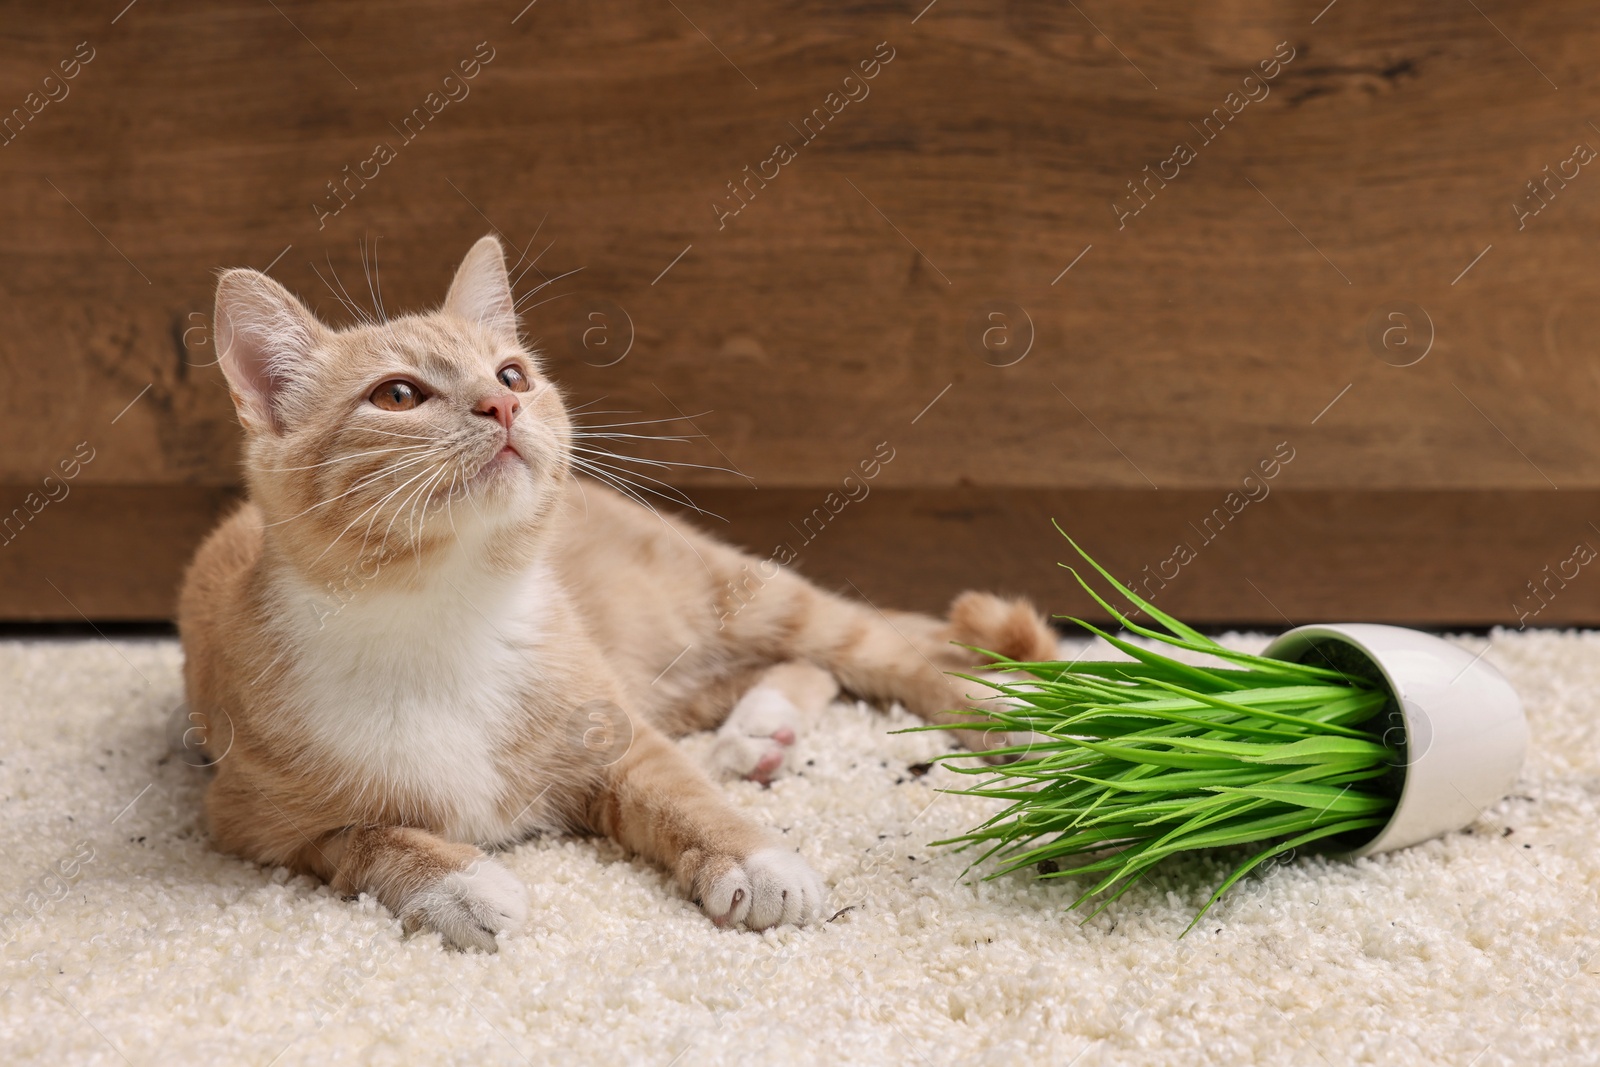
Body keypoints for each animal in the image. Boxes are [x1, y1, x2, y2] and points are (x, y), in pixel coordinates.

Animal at [175, 239, 1056, 953]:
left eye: (513, 373)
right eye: (397, 395)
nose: (503, 402)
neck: (443, 618)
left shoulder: (618, 734)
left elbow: (683, 793)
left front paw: (758, 857)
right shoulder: (253, 820)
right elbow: (367, 837)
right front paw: (457, 882)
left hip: (741, 598)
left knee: (885, 652)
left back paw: (1010, 718)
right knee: (803, 670)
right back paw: (760, 730)